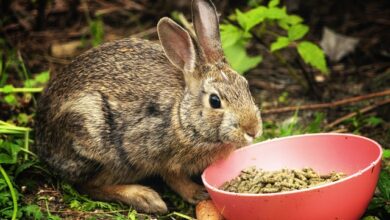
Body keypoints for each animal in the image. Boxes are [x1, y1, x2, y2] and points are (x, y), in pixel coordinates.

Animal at [35, 0, 264, 214]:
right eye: (215, 101)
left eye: (246, 85)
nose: (253, 130)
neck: (182, 116)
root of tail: (43, 144)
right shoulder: (155, 153)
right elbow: (173, 178)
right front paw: (197, 193)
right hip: (94, 140)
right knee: (87, 185)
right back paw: (145, 198)